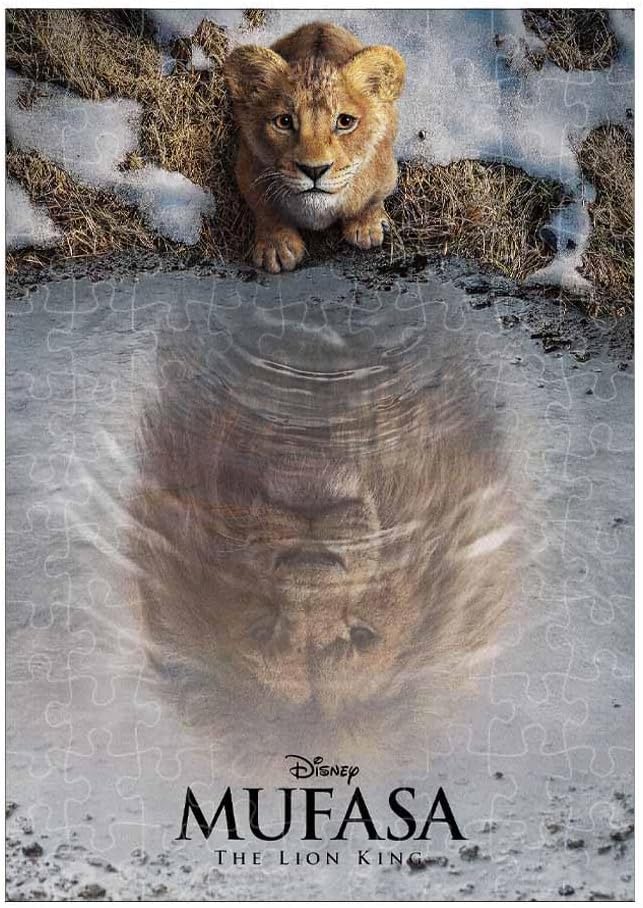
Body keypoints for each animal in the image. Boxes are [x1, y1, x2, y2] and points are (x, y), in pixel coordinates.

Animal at [224, 22, 406, 273]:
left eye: (345, 121)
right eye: (284, 121)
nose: (314, 170)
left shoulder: (386, 170)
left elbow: (371, 200)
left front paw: (366, 227)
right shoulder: (247, 167)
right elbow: (266, 209)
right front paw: (277, 247)